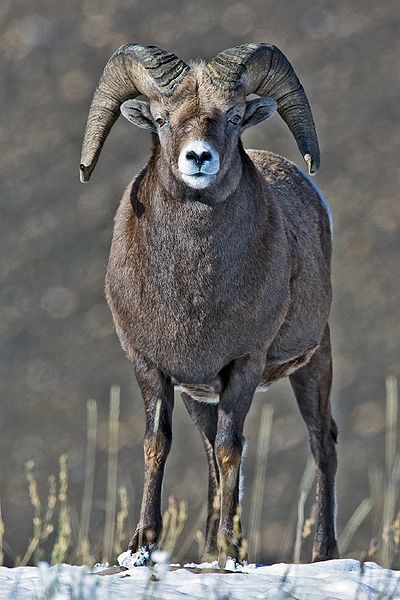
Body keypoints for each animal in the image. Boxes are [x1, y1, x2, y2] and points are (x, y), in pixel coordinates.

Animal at [80, 43, 338, 568]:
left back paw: (322, 554)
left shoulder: (244, 366)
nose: (199, 157)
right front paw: (142, 545)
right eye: (161, 119)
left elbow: (229, 450)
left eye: (235, 116)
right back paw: (206, 545)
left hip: (313, 362)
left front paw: (230, 553)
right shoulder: (152, 367)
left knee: (322, 444)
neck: (194, 292)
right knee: (207, 456)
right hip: (201, 396)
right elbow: (158, 445)